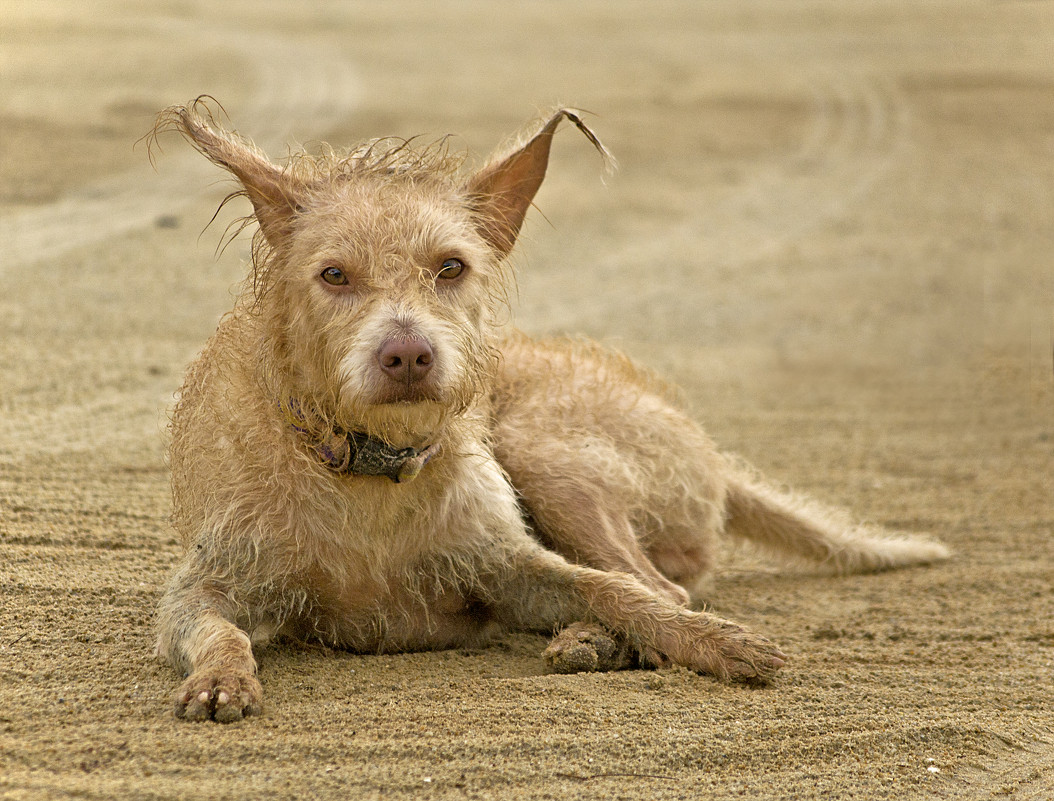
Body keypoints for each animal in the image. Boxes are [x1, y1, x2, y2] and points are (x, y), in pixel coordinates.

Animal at [152, 96, 952, 720]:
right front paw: (223, 677)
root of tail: (712, 454)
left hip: (546, 452)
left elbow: (616, 589)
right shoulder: (203, 588)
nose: (408, 355)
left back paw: (599, 638)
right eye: (334, 275)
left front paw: (714, 641)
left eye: (451, 267)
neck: (370, 468)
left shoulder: (510, 567)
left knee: (656, 580)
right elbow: (219, 631)